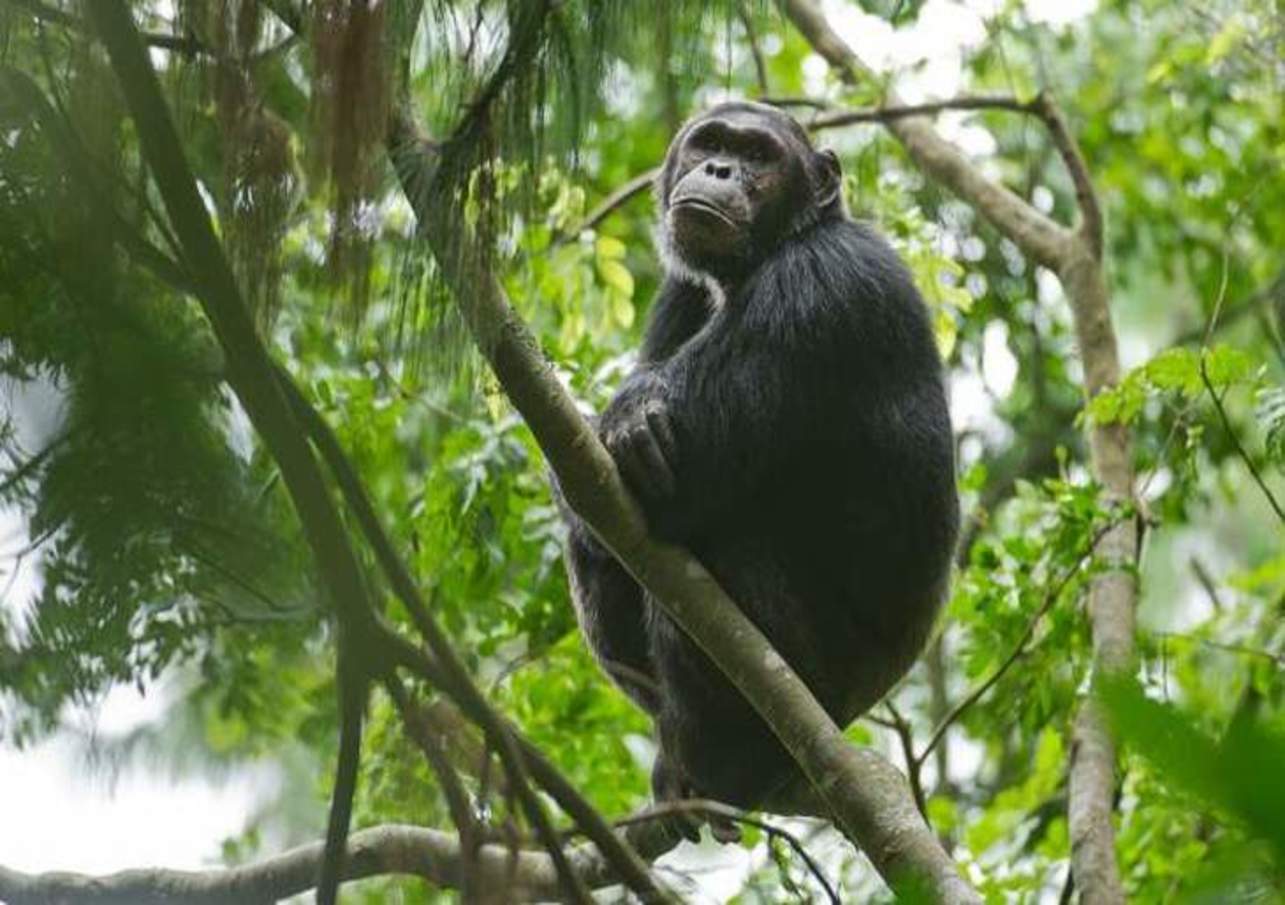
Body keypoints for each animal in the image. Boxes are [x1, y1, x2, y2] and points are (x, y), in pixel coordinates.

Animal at [552, 100, 956, 822]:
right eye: (710, 142)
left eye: (760, 156)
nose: (719, 169)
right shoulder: (678, 294)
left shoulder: (821, 286)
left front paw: (631, 417)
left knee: (719, 551)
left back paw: (726, 761)